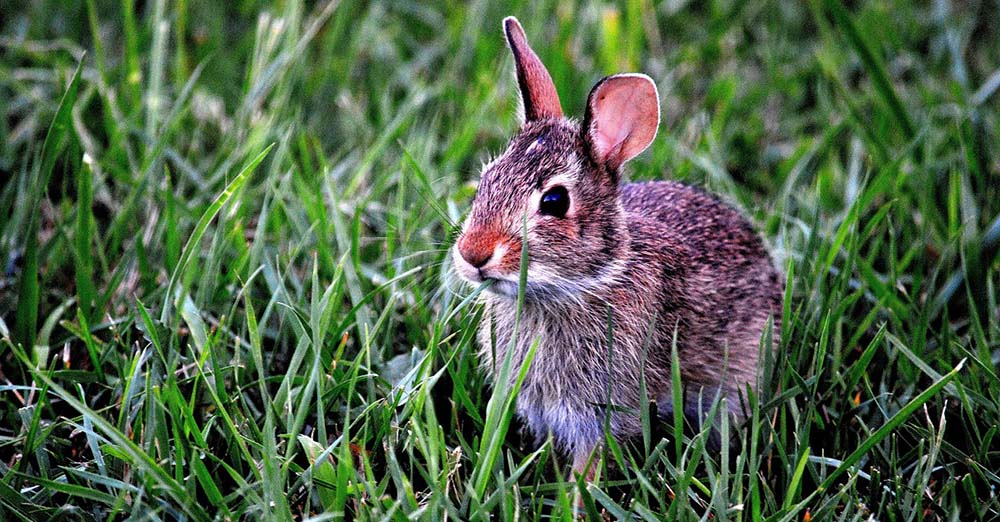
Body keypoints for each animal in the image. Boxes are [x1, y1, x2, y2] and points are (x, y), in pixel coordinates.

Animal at [451, 16, 783, 481]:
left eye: (555, 201)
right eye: (485, 179)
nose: (472, 254)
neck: (588, 282)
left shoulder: (603, 411)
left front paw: (576, 492)